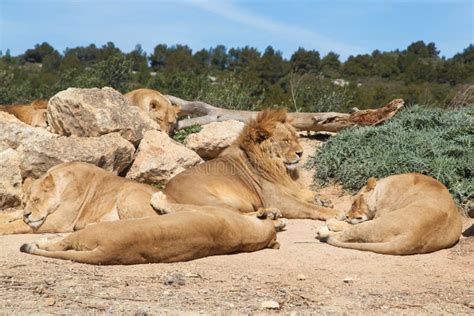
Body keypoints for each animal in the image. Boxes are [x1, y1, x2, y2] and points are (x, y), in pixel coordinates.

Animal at [0, 162, 159, 233]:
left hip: (127, 192)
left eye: (36, 200)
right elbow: (15, 214)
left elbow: (16, 225)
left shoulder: (58, 222)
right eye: (23, 204)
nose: (27, 215)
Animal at [165, 108, 342, 220]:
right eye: (285, 141)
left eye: (295, 138)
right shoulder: (277, 199)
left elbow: (306, 194)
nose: (301, 152)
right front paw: (333, 213)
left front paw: (322, 198)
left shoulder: (289, 187)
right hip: (210, 201)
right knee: (232, 215)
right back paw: (267, 214)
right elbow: (309, 207)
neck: (280, 169)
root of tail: (165, 193)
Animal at [314, 173, 462, 254]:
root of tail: (414, 238)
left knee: (345, 233)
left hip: (378, 223)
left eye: (355, 202)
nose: (347, 216)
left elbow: (349, 225)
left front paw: (335, 221)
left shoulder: (382, 212)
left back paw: (324, 231)